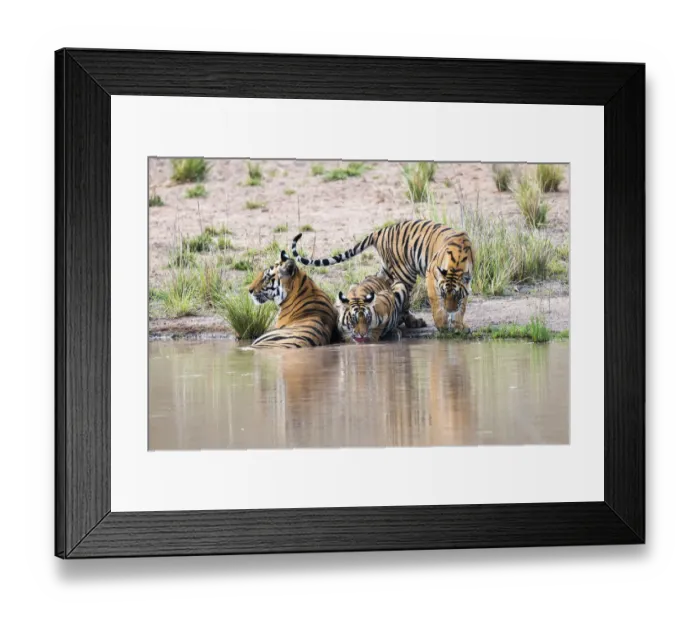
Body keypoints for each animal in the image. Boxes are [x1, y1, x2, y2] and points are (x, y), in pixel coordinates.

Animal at [291, 219, 475, 331]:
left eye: (456, 295)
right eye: (443, 294)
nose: (450, 310)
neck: (457, 264)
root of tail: (381, 231)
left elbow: (463, 306)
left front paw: (459, 325)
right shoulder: (431, 275)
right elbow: (436, 303)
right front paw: (443, 325)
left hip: (388, 269)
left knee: (374, 282)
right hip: (405, 273)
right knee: (404, 301)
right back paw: (411, 322)